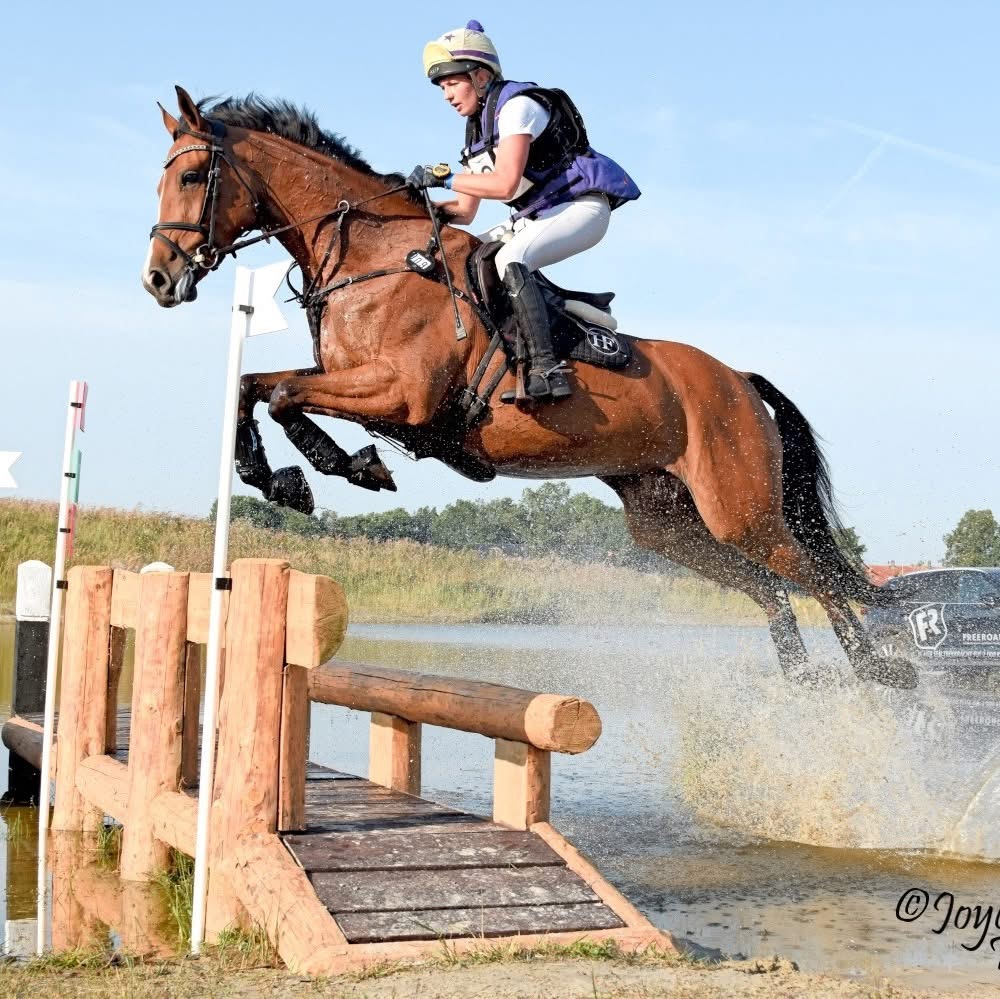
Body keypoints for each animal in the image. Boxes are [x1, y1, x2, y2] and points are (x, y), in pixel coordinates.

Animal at [141, 86, 916, 691]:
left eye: (192, 177)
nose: (158, 278)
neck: (372, 255)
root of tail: (738, 380)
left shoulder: (400, 396)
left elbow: (280, 396)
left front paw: (340, 468)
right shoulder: (354, 386)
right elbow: (255, 386)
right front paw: (287, 476)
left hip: (741, 509)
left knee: (816, 576)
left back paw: (879, 670)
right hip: (667, 521)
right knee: (771, 587)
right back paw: (806, 672)